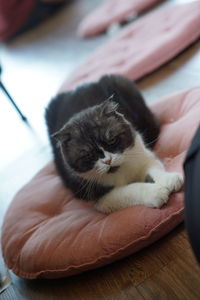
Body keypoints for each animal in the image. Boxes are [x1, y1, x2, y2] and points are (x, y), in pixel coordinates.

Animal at [45, 74, 183, 213]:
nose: (107, 161)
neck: (120, 170)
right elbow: (130, 190)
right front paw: (155, 193)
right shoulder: (101, 197)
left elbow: (153, 167)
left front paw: (169, 179)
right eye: (88, 155)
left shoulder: (143, 155)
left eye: (112, 140)